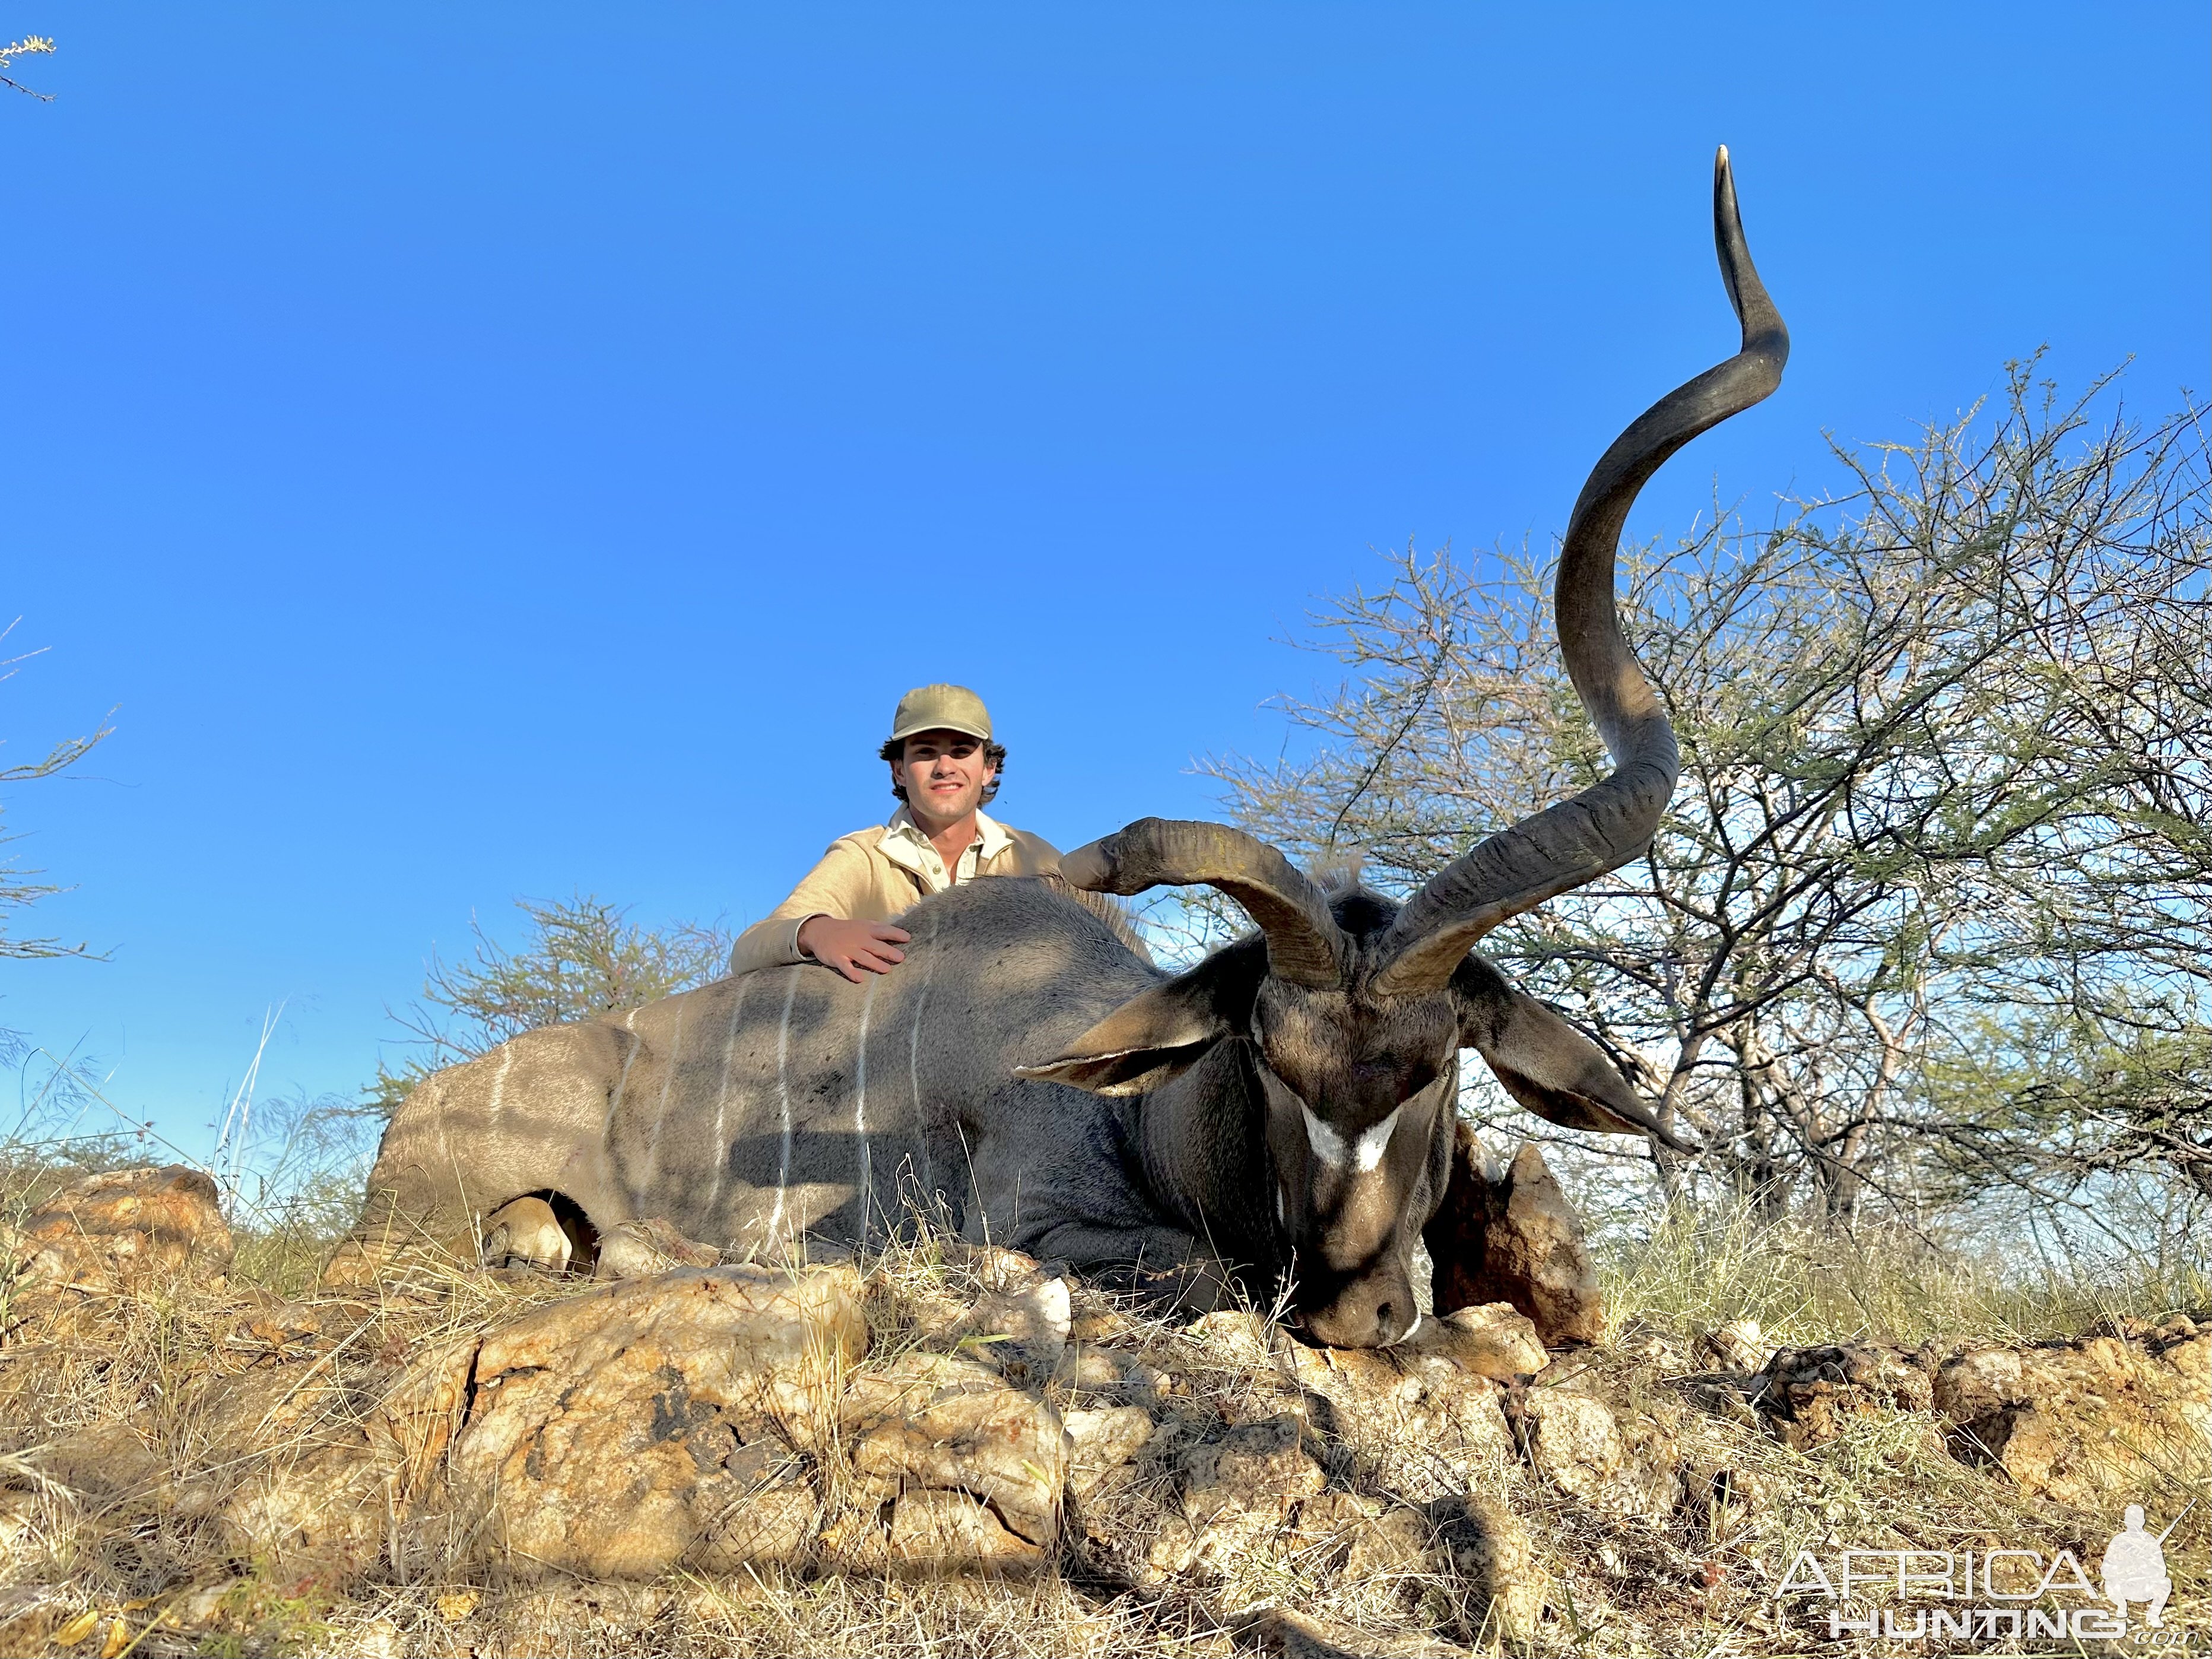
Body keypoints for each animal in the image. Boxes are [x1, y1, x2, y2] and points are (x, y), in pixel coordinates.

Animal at [349, 153, 1796, 1353]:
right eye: (1266, 1056)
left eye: (1438, 1064)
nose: (1355, 1313)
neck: (1139, 1107)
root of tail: (413, 1111)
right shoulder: (1046, 1221)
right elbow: (1179, 1276)